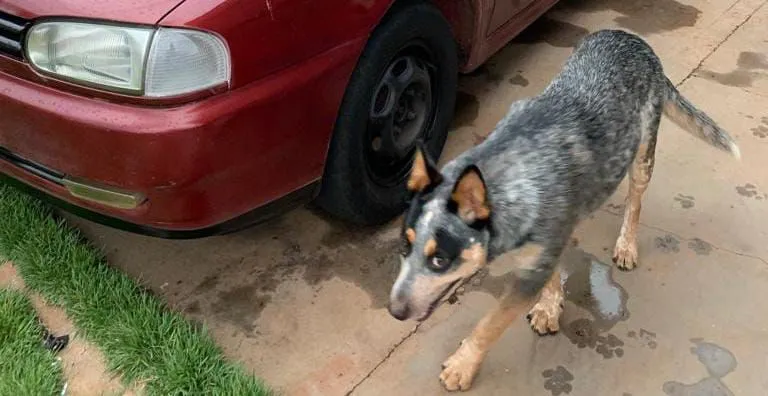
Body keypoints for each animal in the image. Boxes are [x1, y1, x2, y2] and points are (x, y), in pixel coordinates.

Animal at [388, 29, 740, 392]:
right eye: (404, 246)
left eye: (440, 260)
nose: (395, 310)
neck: (508, 175)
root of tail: (630, 37)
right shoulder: (548, 239)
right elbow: (552, 271)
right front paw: (550, 305)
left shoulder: (531, 269)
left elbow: (490, 324)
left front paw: (462, 365)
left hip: (643, 154)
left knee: (635, 199)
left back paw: (627, 244)